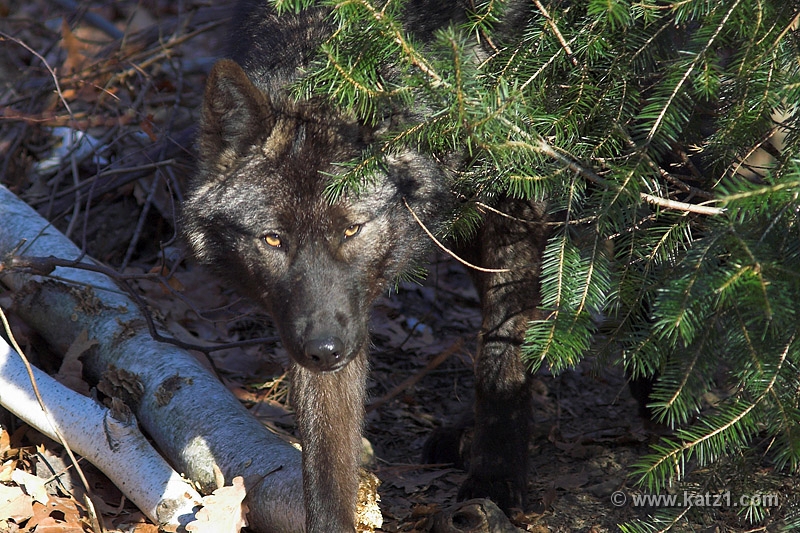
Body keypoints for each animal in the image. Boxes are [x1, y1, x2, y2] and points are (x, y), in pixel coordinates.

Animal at [181, 1, 549, 531]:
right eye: (273, 239)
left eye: (351, 230)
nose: (324, 350)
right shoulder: (325, 325)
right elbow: (326, 464)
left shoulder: (518, 190)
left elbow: (504, 353)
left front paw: (495, 480)